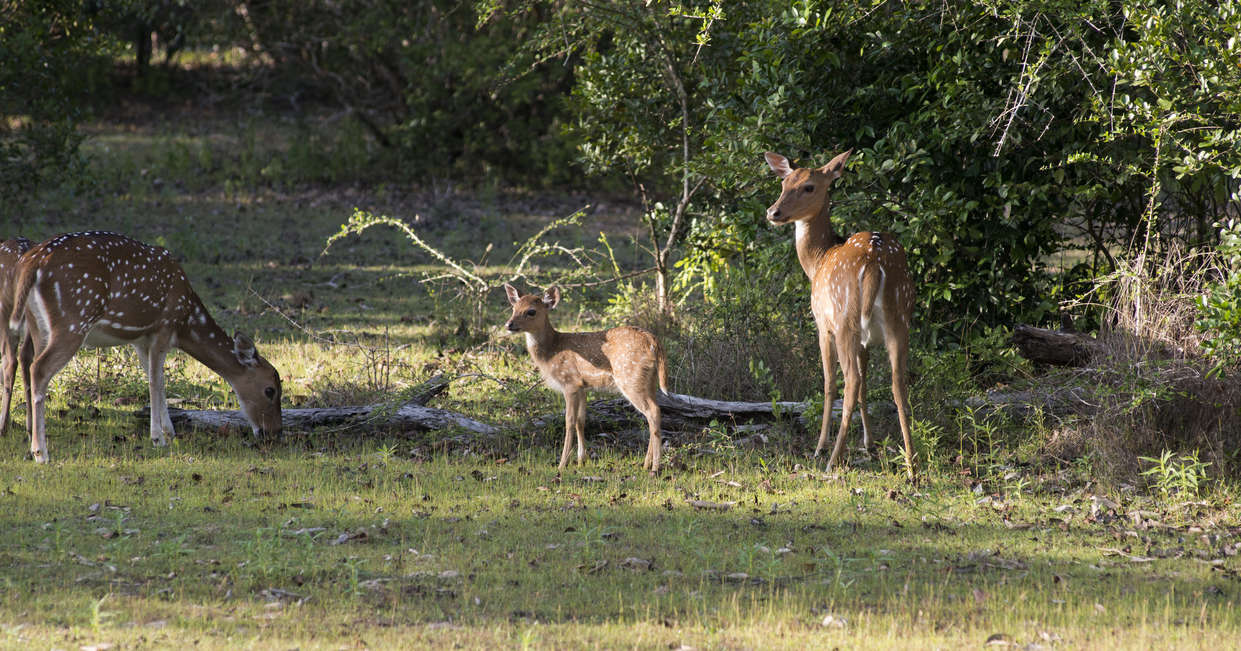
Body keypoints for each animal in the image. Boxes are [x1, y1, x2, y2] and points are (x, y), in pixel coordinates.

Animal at [8, 229, 284, 461]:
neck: (186, 319)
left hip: (38, 324)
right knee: (39, 369)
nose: (274, 433)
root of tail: (31, 262)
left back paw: (30, 441)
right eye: (270, 390)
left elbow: (159, 381)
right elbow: (154, 381)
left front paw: (170, 432)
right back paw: (41, 452)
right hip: (74, 318)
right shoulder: (164, 326)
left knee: (27, 361)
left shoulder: (141, 340)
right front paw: (158, 438)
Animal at [501, 283, 670, 471]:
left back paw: (655, 467)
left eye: (531, 311)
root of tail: (653, 341)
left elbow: (569, 421)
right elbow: (581, 421)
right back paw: (646, 464)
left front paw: (562, 464)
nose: (509, 324)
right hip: (649, 380)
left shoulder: (570, 382)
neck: (551, 352)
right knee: (653, 412)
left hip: (630, 378)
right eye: (514, 308)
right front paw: (581, 459)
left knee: (653, 412)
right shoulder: (582, 386)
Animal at [759, 151, 918, 476]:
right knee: (897, 382)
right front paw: (869, 444)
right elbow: (867, 384)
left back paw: (832, 458)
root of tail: (874, 261)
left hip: (846, 320)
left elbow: (829, 384)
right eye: (784, 183)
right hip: (900, 317)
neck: (816, 261)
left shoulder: (822, 325)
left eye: (808, 187)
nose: (773, 212)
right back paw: (911, 466)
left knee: (850, 380)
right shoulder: (866, 341)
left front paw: (820, 446)